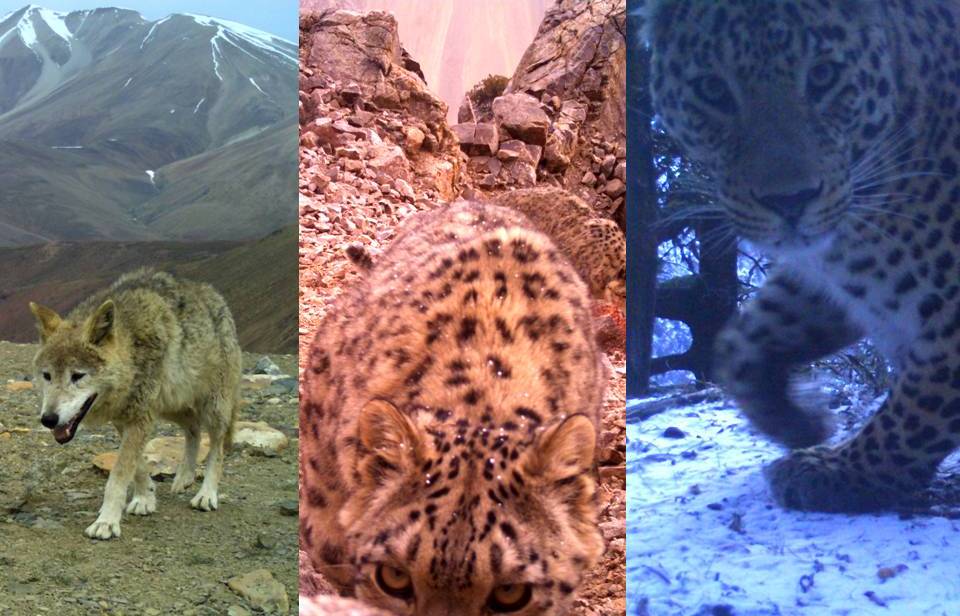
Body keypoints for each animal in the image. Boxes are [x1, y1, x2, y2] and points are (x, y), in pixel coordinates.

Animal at [29, 269, 242, 539]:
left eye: (77, 376)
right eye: (47, 376)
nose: (48, 419)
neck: (131, 350)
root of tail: (214, 294)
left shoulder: (140, 417)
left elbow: (119, 474)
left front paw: (107, 521)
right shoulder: (126, 419)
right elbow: (137, 466)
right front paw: (145, 498)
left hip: (213, 408)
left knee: (217, 447)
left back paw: (206, 494)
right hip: (172, 405)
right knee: (193, 427)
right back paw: (184, 477)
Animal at [647, 0, 960, 513]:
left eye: (824, 75)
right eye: (713, 89)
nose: (790, 201)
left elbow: (915, 411)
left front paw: (841, 473)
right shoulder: (836, 268)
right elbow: (743, 338)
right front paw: (797, 422)